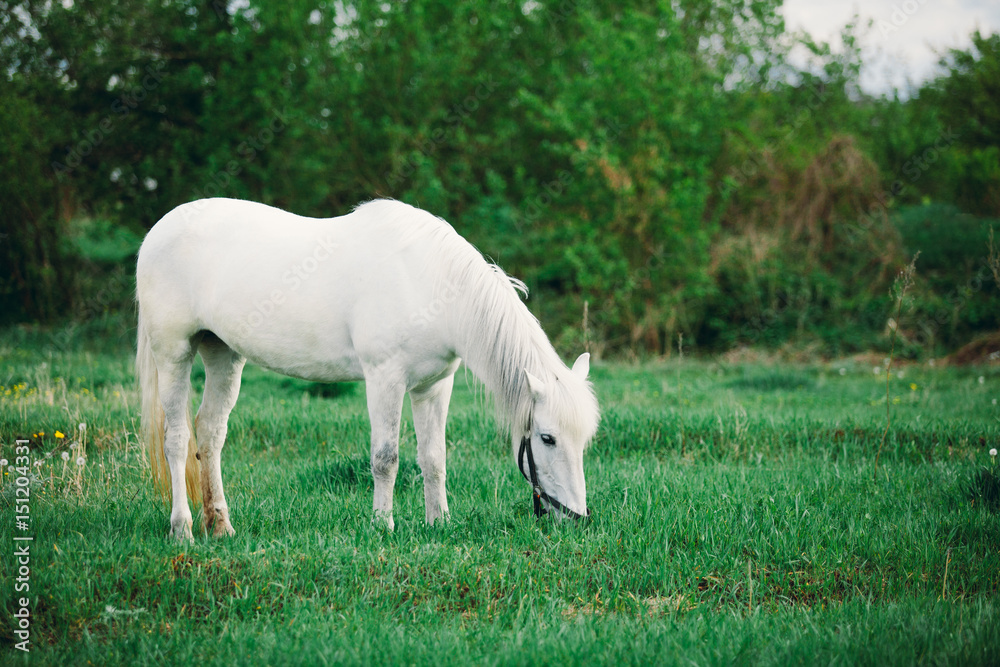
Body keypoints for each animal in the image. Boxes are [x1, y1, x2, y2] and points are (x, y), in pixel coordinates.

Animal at [136, 198, 599, 540]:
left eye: (584, 439)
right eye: (547, 438)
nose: (576, 518)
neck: (430, 284)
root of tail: (160, 229)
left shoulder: (434, 387)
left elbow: (434, 457)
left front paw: (439, 523)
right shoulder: (384, 379)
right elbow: (385, 458)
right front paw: (382, 525)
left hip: (223, 353)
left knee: (211, 433)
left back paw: (220, 525)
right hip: (173, 353)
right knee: (177, 440)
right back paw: (183, 529)